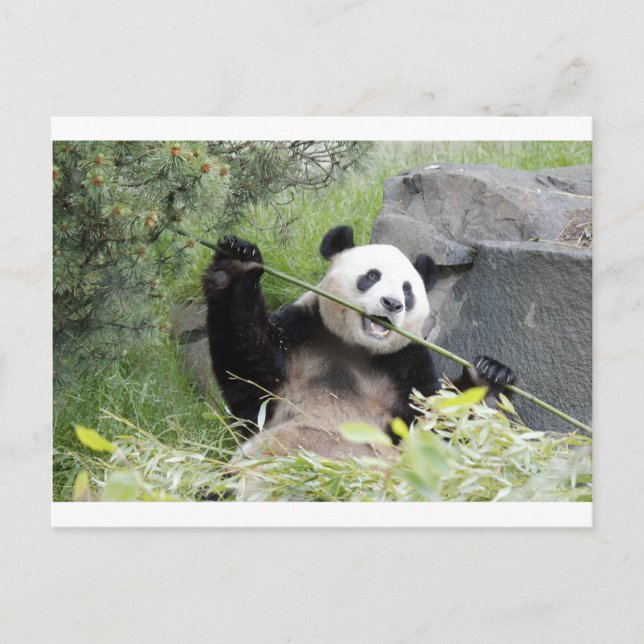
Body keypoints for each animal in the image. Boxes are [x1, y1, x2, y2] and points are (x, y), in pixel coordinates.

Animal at [203, 225, 516, 462]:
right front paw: (237, 260)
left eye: (407, 290)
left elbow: (437, 427)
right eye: (372, 276)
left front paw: (489, 376)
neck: (359, 349)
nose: (392, 304)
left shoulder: (408, 364)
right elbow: (249, 370)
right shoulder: (302, 332)